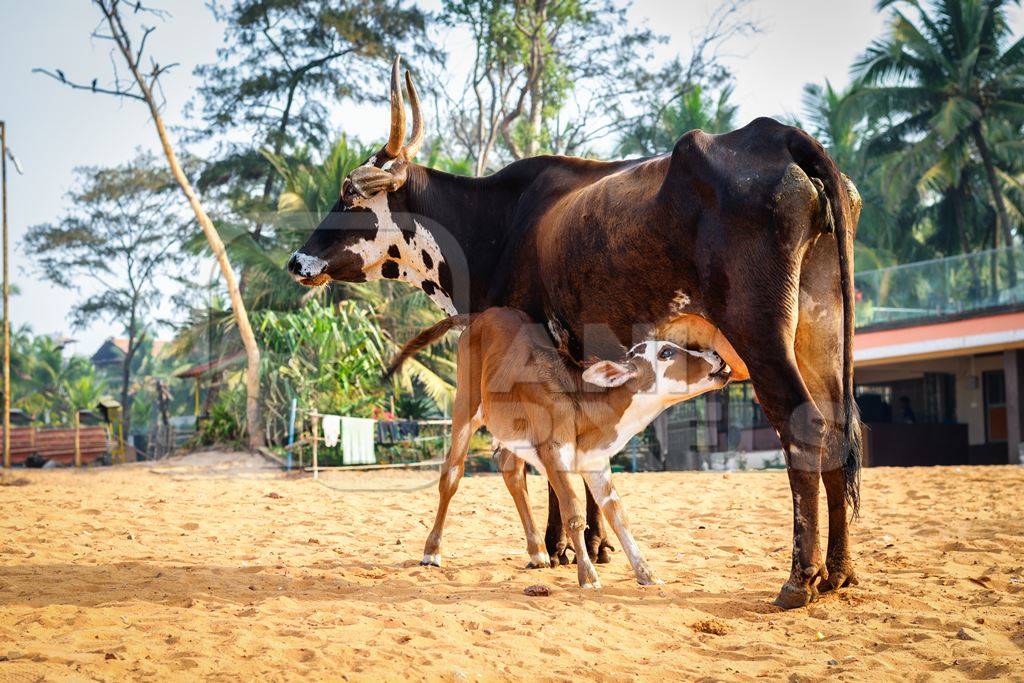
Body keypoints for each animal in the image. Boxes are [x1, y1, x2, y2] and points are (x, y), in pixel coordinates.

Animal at [290, 56, 864, 606]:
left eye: (349, 195)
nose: (297, 261)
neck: (497, 222)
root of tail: (778, 134)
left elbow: (538, 465)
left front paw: (559, 546)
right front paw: (592, 543)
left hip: (761, 337)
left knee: (804, 427)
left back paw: (799, 578)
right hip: (822, 338)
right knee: (837, 428)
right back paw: (838, 572)